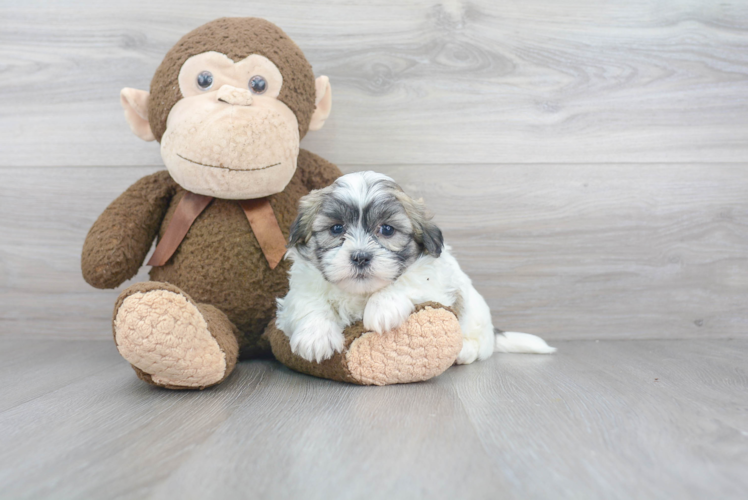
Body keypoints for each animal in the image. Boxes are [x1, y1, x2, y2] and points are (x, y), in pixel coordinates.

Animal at [276, 172, 556, 364]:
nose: (360, 257)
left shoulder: (435, 284)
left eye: (387, 229)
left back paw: (464, 351)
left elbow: (410, 281)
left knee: (480, 346)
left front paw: (383, 307)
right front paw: (315, 336)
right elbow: (309, 303)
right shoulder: (300, 290)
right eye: (336, 228)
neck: (361, 293)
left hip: (476, 319)